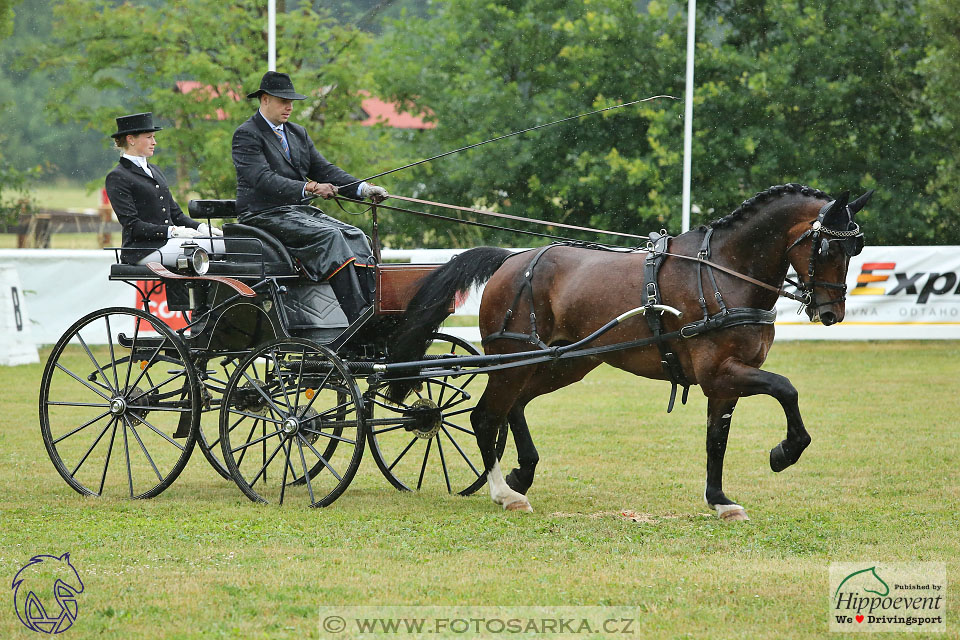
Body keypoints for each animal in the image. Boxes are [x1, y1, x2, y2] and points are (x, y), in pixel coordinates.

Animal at [386, 184, 872, 520]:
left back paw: (521, 474)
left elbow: (716, 438)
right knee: (486, 416)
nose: (831, 312)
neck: (723, 272)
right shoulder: (720, 372)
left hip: (561, 363)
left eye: (856, 247)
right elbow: (786, 389)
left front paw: (719, 501)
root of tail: (512, 260)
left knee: (514, 407)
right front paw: (785, 452)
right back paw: (504, 493)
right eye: (827, 245)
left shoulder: (725, 381)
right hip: (512, 360)